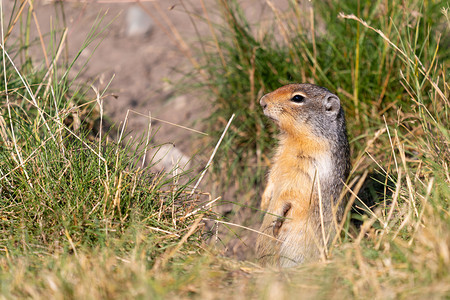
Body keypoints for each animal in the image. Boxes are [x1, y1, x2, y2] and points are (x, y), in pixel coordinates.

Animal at [255, 82, 350, 268]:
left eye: (298, 98)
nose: (262, 101)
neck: (294, 139)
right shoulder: (279, 160)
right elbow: (272, 179)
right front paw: (264, 202)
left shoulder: (310, 169)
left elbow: (290, 194)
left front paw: (277, 218)